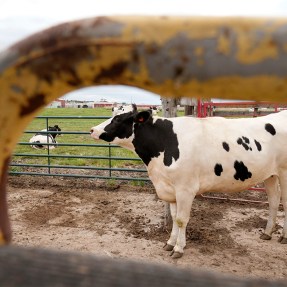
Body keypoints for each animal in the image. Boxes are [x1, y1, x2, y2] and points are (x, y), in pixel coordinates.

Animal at [90, 105, 287, 258]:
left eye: (118, 119)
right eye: (113, 112)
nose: (92, 130)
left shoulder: (185, 189)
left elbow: (181, 219)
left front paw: (178, 248)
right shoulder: (171, 189)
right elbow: (174, 216)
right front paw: (170, 242)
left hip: (284, 172)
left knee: (284, 202)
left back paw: (283, 236)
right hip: (269, 175)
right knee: (274, 201)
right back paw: (267, 232)